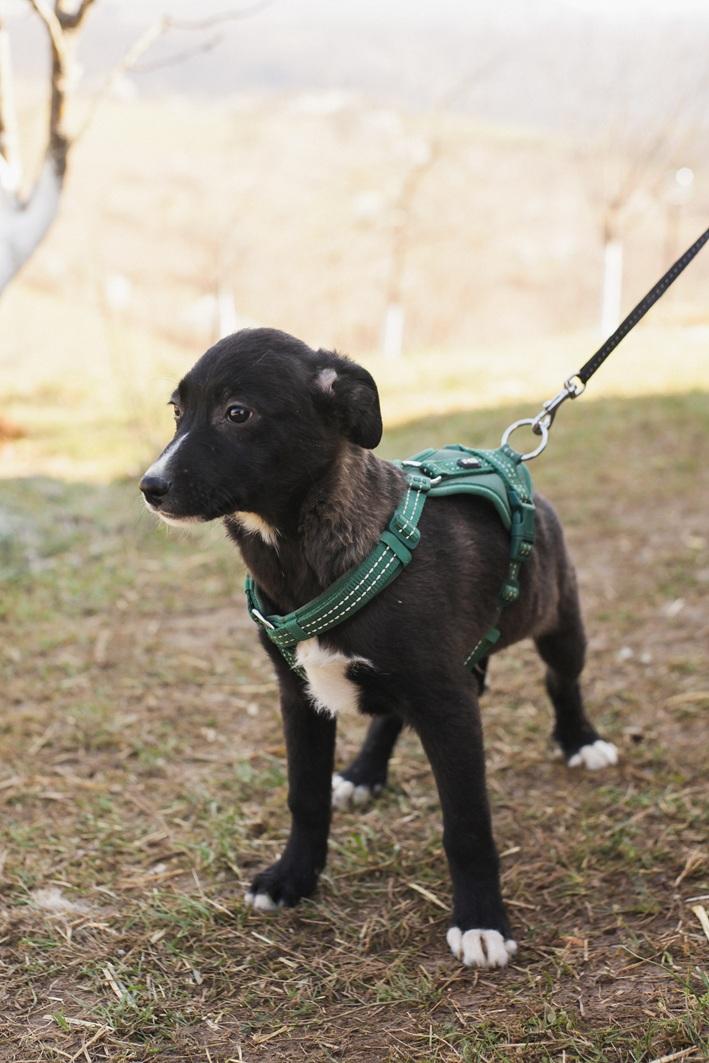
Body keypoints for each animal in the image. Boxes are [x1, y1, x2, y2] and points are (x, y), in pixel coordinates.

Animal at [139, 327, 618, 970]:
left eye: (237, 413)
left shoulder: (448, 704)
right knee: (389, 714)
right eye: (176, 412)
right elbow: (305, 796)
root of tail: (513, 461)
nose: (150, 487)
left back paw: (580, 739)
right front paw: (293, 877)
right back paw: (365, 773)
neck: (309, 552)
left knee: (561, 680)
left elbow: (467, 825)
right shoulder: (299, 695)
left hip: (559, 620)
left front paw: (481, 921)